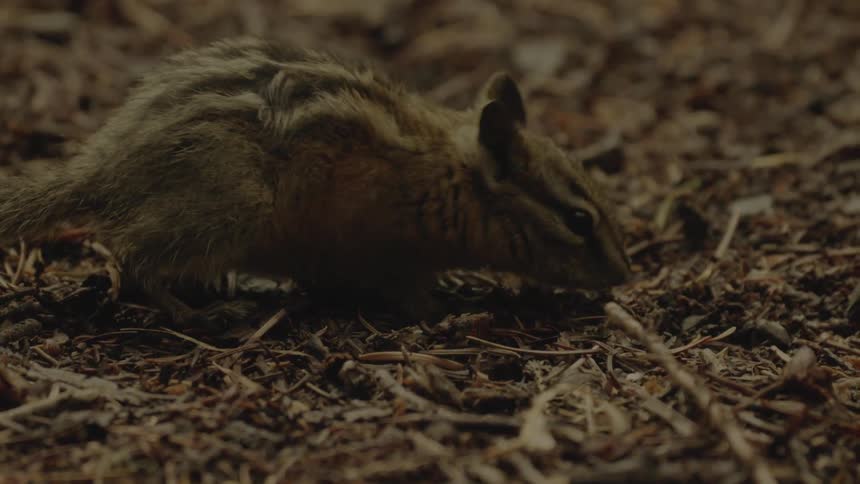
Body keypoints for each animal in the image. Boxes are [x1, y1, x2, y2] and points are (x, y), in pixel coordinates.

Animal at [0, 37, 631, 324]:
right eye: (579, 218)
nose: (624, 275)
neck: (444, 173)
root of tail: (103, 163)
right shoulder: (392, 254)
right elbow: (410, 295)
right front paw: (449, 309)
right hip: (234, 206)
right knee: (132, 255)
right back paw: (197, 314)